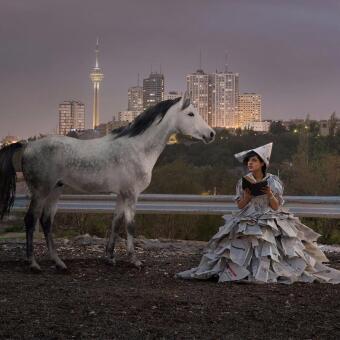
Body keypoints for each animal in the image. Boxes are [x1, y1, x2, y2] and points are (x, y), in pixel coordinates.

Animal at [0, 93, 215, 270]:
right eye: (190, 114)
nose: (211, 134)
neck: (138, 148)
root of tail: (27, 145)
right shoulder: (131, 195)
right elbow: (130, 226)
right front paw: (134, 260)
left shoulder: (121, 195)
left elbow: (115, 223)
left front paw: (109, 257)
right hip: (41, 191)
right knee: (31, 220)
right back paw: (33, 263)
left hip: (55, 190)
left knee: (46, 221)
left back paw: (58, 262)